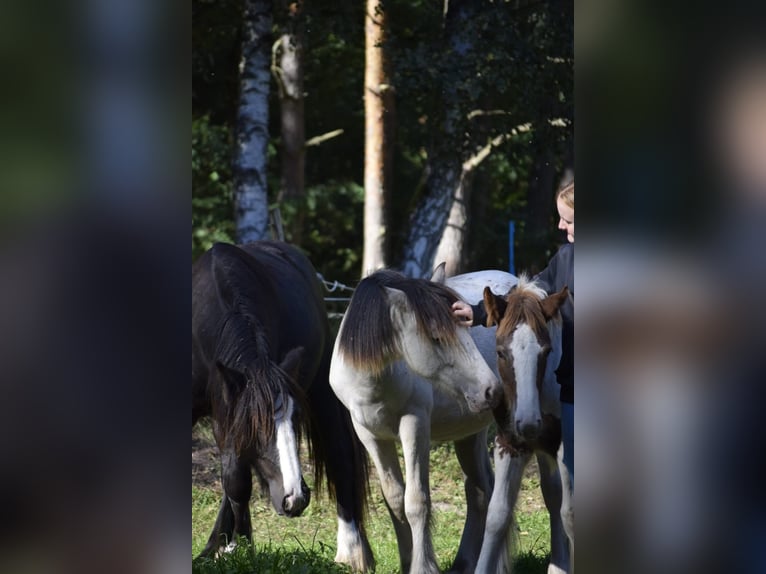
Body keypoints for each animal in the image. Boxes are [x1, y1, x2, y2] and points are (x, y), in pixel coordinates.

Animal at [192, 241, 374, 572]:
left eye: (295, 419)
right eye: (256, 427)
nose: (294, 499)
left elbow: (236, 481)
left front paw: (238, 548)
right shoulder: (225, 413)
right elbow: (234, 480)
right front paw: (229, 548)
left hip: (322, 390)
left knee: (340, 455)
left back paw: (351, 551)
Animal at [329, 266, 504, 574]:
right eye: (435, 337)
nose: (490, 390)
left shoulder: (415, 425)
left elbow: (417, 501)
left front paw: (423, 566)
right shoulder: (370, 435)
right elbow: (396, 500)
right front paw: (407, 560)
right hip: (469, 435)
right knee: (481, 491)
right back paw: (468, 562)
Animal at [469, 275, 571, 574]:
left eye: (546, 351)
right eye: (501, 352)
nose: (528, 423)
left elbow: (570, 512)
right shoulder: (509, 444)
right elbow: (497, 516)